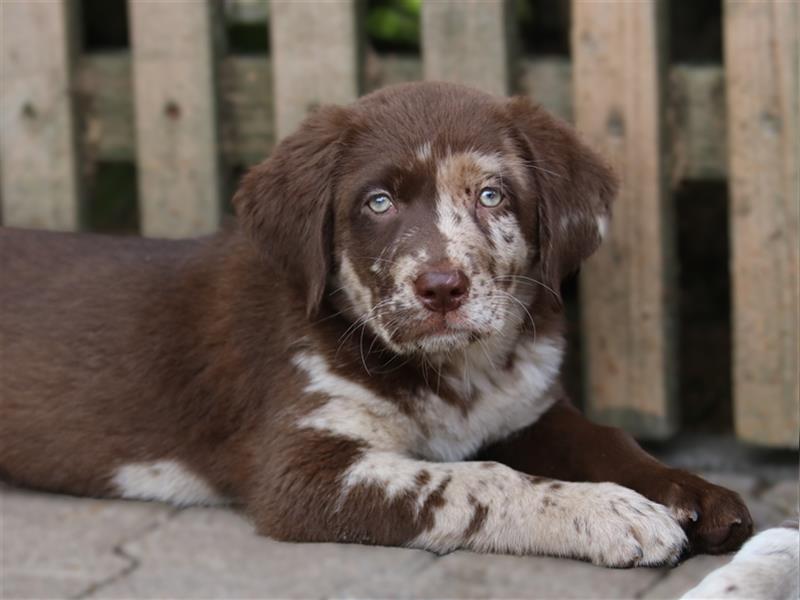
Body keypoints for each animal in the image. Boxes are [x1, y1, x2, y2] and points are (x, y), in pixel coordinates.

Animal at [0, 81, 752, 568]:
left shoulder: (525, 409)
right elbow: (475, 482)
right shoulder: (302, 472)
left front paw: (692, 496)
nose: (442, 287)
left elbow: (604, 438)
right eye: (379, 202)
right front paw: (610, 514)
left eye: (492, 194)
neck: (454, 373)